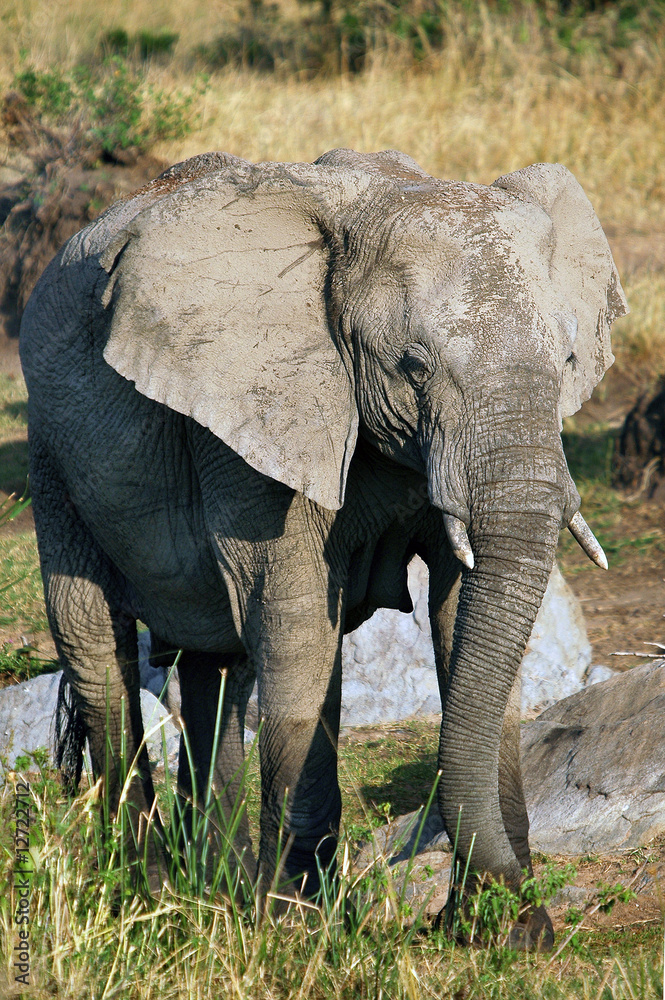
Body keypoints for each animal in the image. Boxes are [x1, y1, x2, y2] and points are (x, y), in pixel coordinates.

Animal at [19, 148, 627, 947]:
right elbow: (299, 619)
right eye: (414, 365)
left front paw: (503, 927)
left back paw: (213, 891)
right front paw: (299, 929)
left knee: (219, 668)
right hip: (52, 451)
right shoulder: (253, 412)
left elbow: (457, 613)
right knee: (98, 649)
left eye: (567, 358)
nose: (507, 908)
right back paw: (150, 901)